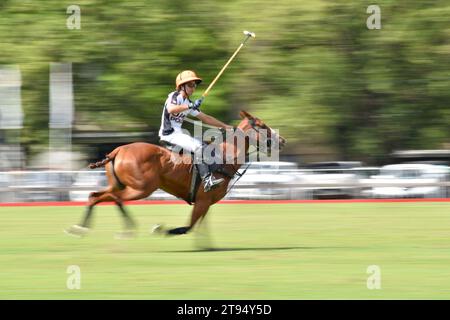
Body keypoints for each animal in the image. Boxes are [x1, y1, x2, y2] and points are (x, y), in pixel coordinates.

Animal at [65, 110, 286, 238]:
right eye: (262, 125)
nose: (282, 140)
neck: (225, 156)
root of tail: (117, 150)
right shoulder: (203, 199)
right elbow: (188, 227)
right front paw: (160, 228)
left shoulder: (205, 202)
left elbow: (200, 227)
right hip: (141, 188)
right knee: (113, 198)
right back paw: (121, 229)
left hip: (120, 184)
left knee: (97, 195)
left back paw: (82, 228)